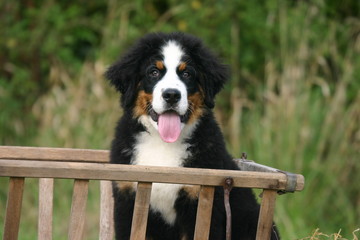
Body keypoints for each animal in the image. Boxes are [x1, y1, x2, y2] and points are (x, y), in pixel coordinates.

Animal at [105, 32, 280, 240]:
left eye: (187, 74)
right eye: (154, 72)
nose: (172, 95)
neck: (162, 143)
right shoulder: (127, 198)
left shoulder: (200, 201)